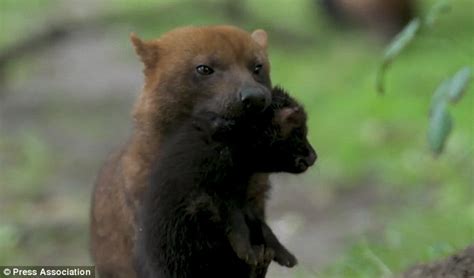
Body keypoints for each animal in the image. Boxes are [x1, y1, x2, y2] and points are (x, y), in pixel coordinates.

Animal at [135, 87, 316, 278]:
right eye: (299, 132)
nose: (314, 156)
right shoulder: (212, 196)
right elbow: (237, 224)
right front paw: (248, 252)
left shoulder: (242, 198)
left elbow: (261, 225)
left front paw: (285, 255)